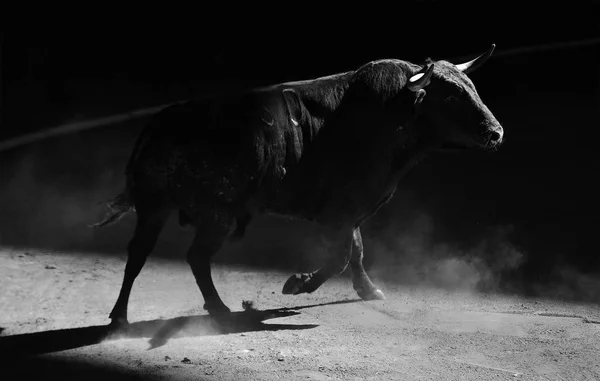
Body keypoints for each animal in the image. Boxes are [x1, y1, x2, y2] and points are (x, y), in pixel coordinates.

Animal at [94, 44, 504, 324]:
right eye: (450, 95)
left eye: (472, 87)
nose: (497, 132)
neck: (392, 114)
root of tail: (160, 122)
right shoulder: (341, 210)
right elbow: (340, 255)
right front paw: (297, 284)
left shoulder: (351, 209)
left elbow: (356, 250)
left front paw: (368, 290)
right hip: (213, 214)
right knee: (192, 256)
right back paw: (215, 309)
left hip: (156, 206)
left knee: (139, 254)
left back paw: (121, 316)